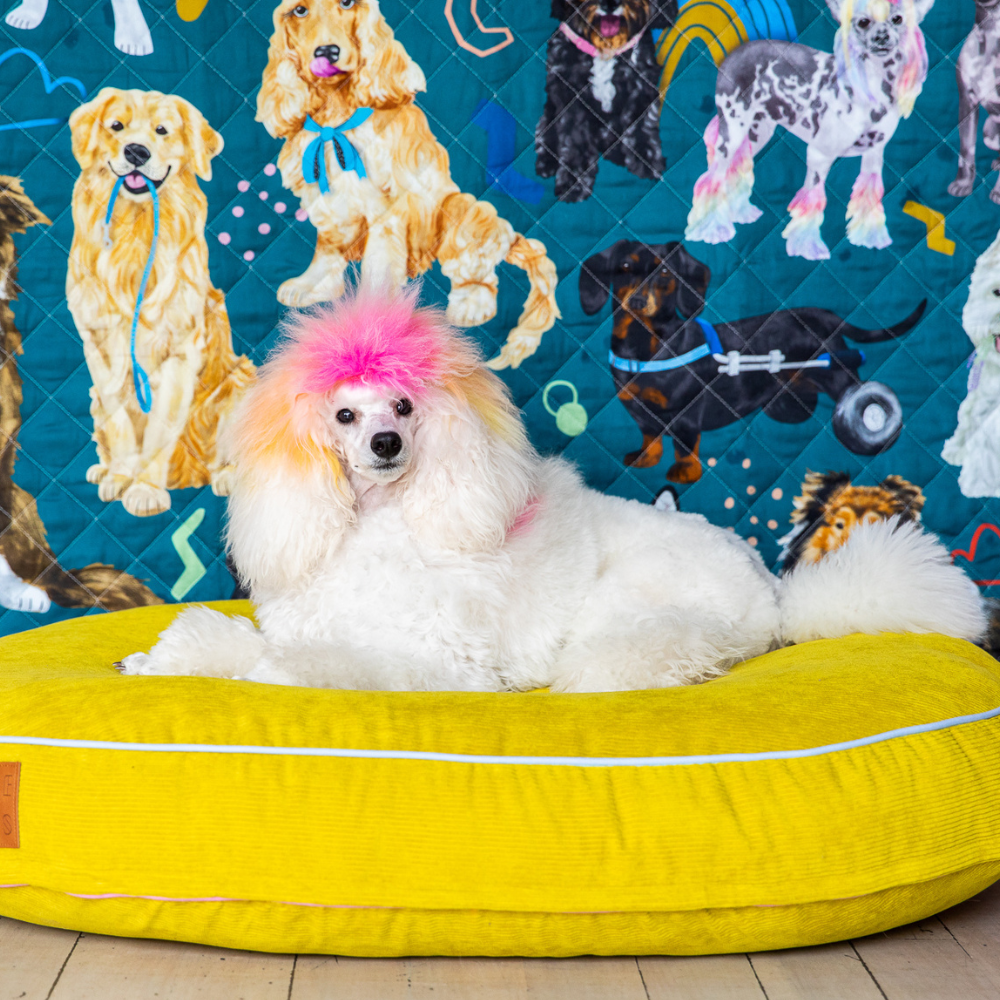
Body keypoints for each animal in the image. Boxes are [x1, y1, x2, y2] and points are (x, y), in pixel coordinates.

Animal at [123, 292, 984, 692]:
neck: (383, 522)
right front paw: (162, 659)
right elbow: (236, 642)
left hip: (635, 609)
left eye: (403, 405)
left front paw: (272, 673)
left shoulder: (440, 659)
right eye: (343, 414)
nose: (385, 445)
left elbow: (314, 663)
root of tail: (778, 598)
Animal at [580, 244, 928, 486]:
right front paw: (644, 458)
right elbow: (650, 438)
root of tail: (825, 315)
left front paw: (684, 471)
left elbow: (684, 445)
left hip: (840, 378)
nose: (638, 301)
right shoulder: (641, 415)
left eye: (665, 273)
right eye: (625, 266)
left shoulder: (686, 415)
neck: (645, 349)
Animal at [684, 0, 932, 262]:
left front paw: (870, 237)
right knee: (712, 177)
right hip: (732, 130)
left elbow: (870, 193)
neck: (871, 89)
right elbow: (812, 199)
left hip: (757, 132)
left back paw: (739, 213)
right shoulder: (819, 155)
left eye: (897, 19)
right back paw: (711, 229)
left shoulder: (874, 154)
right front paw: (807, 247)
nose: (882, 36)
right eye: (863, 22)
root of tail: (736, 52)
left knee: (735, 168)